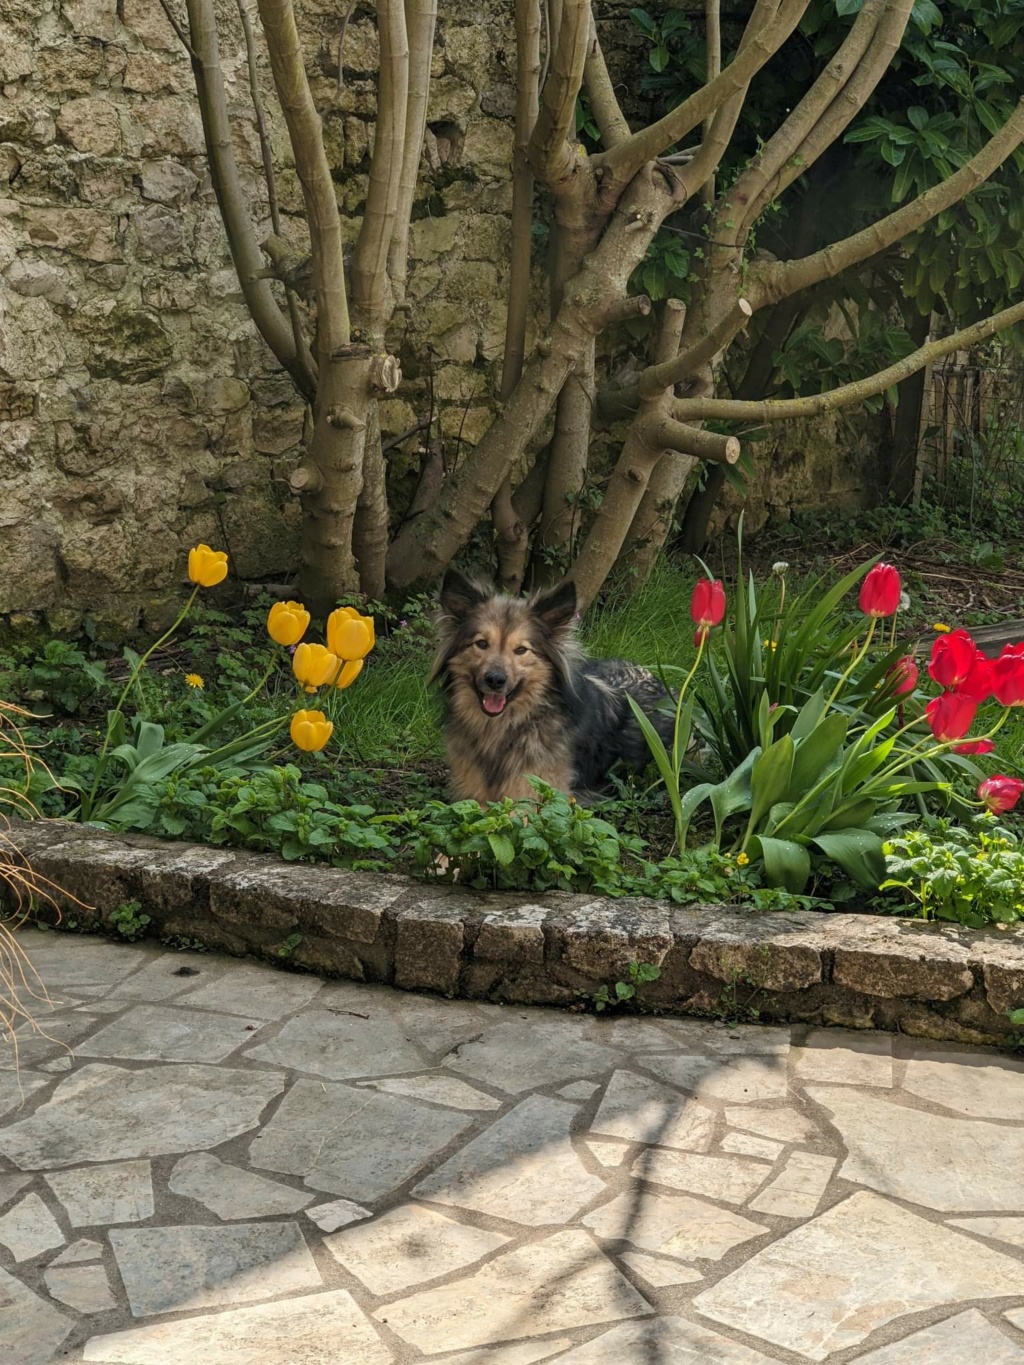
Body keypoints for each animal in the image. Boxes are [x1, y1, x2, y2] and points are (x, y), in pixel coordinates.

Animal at [428, 570, 677, 802]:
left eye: (521, 650)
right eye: (481, 644)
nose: (495, 680)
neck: (504, 728)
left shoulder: (533, 794)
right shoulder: (472, 793)